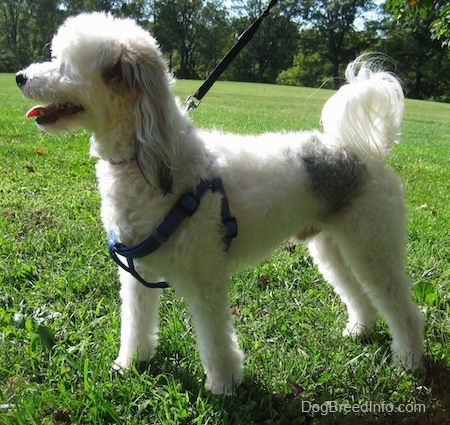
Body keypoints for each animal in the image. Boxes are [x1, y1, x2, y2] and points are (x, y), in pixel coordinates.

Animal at [17, 12, 424, 394]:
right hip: (332, 248)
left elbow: (214, 338)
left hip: (372, 244)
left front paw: (224, 386)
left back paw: (409, 360)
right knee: (360, 294)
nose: (20, 76)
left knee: (403, 309)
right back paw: (361, 329)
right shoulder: (137, 274)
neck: (159, 163)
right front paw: (130, 364)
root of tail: (363, 153)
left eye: (66, 64)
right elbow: (135, 323)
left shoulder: (205, 278)